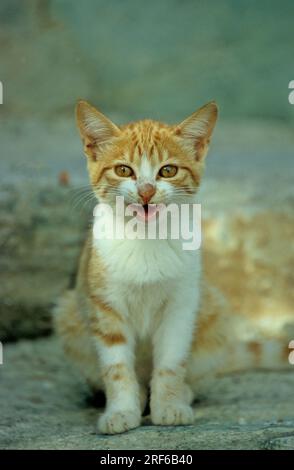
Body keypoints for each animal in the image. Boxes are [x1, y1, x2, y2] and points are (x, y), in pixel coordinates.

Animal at [54, 101, 292, 436]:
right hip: (69, 314)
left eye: (168, 170)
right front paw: (121, 410)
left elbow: (170, 362)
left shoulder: (181, 305)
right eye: (123, 170)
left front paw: (169, 405)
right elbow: (117, 367)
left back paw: (181, 393)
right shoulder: (105, 306)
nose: (146, 191)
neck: (145, 238)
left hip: (214, 310)